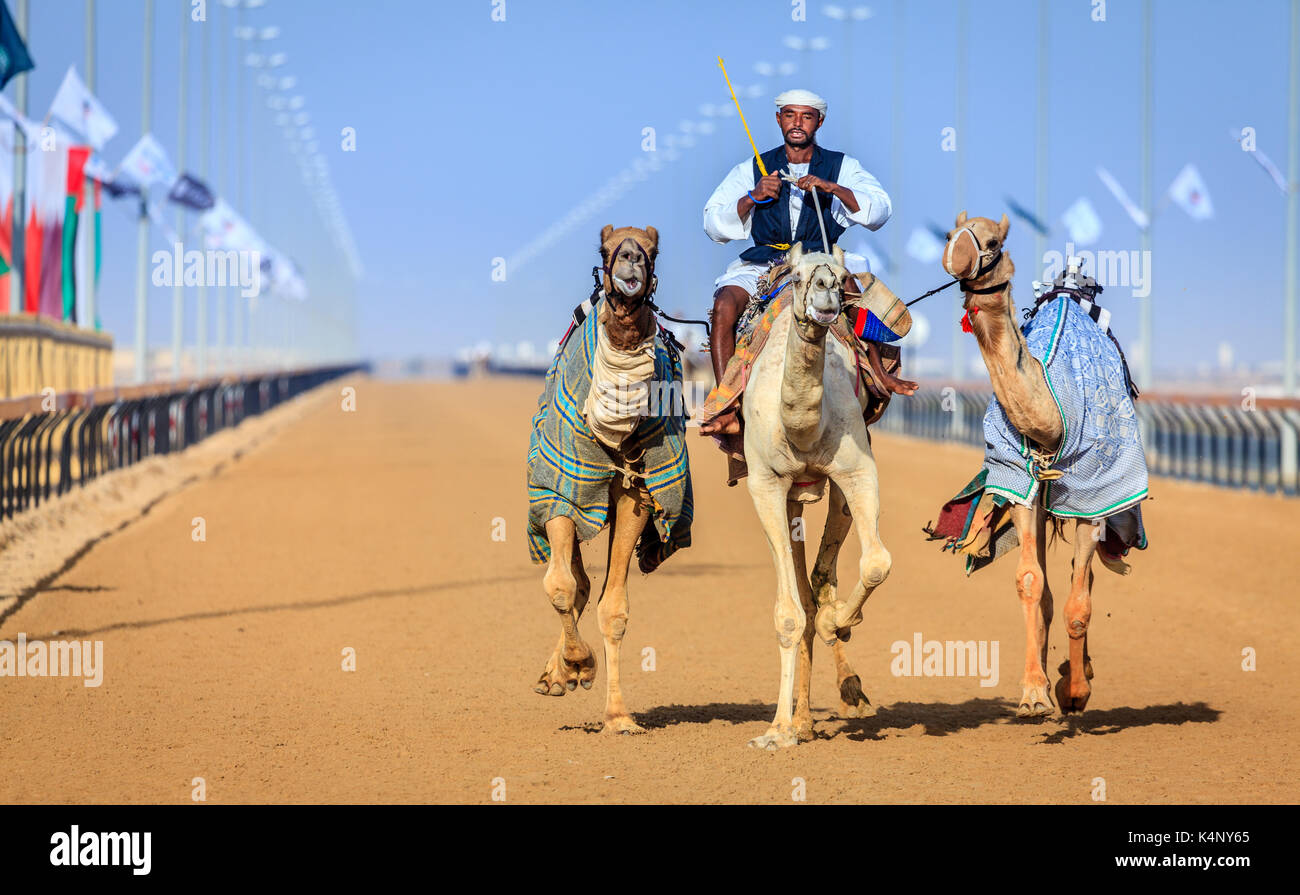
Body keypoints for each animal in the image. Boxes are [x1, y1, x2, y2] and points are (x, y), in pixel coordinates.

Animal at [743, 243, 894, 749]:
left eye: (844, 278)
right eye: (796, 278)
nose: (826, 291)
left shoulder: (858, 471)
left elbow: (876, 563)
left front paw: (836, 623)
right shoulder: (765, 484)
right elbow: (789, 614)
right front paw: (776, 731)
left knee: (820, 577)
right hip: (788, 496)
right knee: (803, 591)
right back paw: (800, 720)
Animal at [941, 212, 1102, 718]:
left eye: (992, 240)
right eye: (951, 232)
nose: (954, 252)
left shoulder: (1095, 498)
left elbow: (1079, 601)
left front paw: (1075, 692)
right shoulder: (1021, 488)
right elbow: (1031, 583)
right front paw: (1034, 692)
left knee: (1084, 584)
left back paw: (1078, 676)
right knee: (1051, 591)